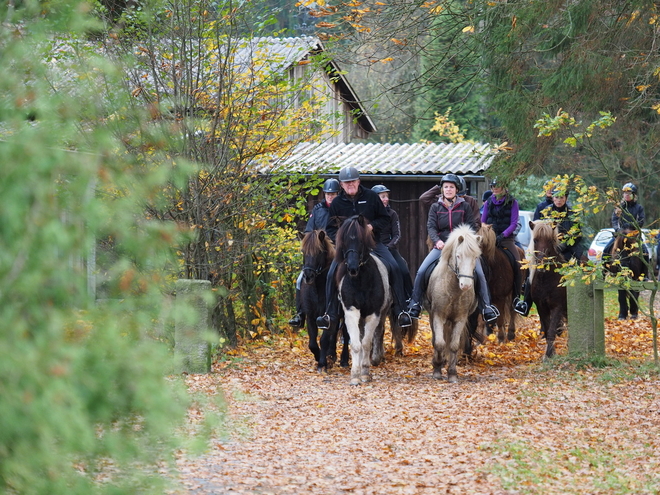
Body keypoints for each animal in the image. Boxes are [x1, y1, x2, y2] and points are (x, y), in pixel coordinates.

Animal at [300, 231, 350, 370]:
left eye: (319, 252)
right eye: (303, 251)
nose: (308, 276)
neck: (318, 288)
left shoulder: (328, 316)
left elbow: (323, 339)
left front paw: (322, 363)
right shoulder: (311, 316)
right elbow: (312, 342)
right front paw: (320, 357)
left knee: (345, 334)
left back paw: (344, 360)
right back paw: (331, 355)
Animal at [332, 215, 390, 386]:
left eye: (361, 241)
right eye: (343, 240)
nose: (352, 268)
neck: (360, 281)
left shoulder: (373, 314)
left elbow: (366, 343)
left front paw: (364, 373)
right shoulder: (351, 312)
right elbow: (357, 344)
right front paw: (355, 375)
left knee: (378, 332)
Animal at [426, 225, 482, 384]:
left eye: (475, 257)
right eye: (458, 256)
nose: (466, 285)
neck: (453, 289)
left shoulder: (460, 318)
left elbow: (454, 345)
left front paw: (452, 373)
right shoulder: (438, 316)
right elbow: (439, 343)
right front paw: (437, 369)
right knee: (436, 339)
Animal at [524, 223, 568, 358]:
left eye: (550, 240)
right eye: (535, 240)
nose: (542, 264)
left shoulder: (557, 307)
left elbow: (552, 331)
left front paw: (549, 354)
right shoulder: (541, 307)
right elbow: (548, 329)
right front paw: (551, 353)